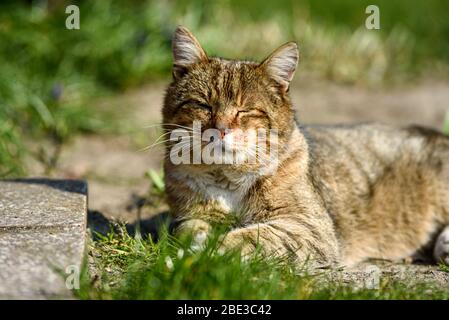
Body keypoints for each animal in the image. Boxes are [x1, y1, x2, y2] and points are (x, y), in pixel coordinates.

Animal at [162, 26, 448, 268]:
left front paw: (209, 250)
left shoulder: (307, 226)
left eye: (245, 110)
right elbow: (188, 229)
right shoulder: (189, 215)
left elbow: (251, 236)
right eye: (203, 105)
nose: (220, 129)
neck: (227, 178)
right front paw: (196, 241)